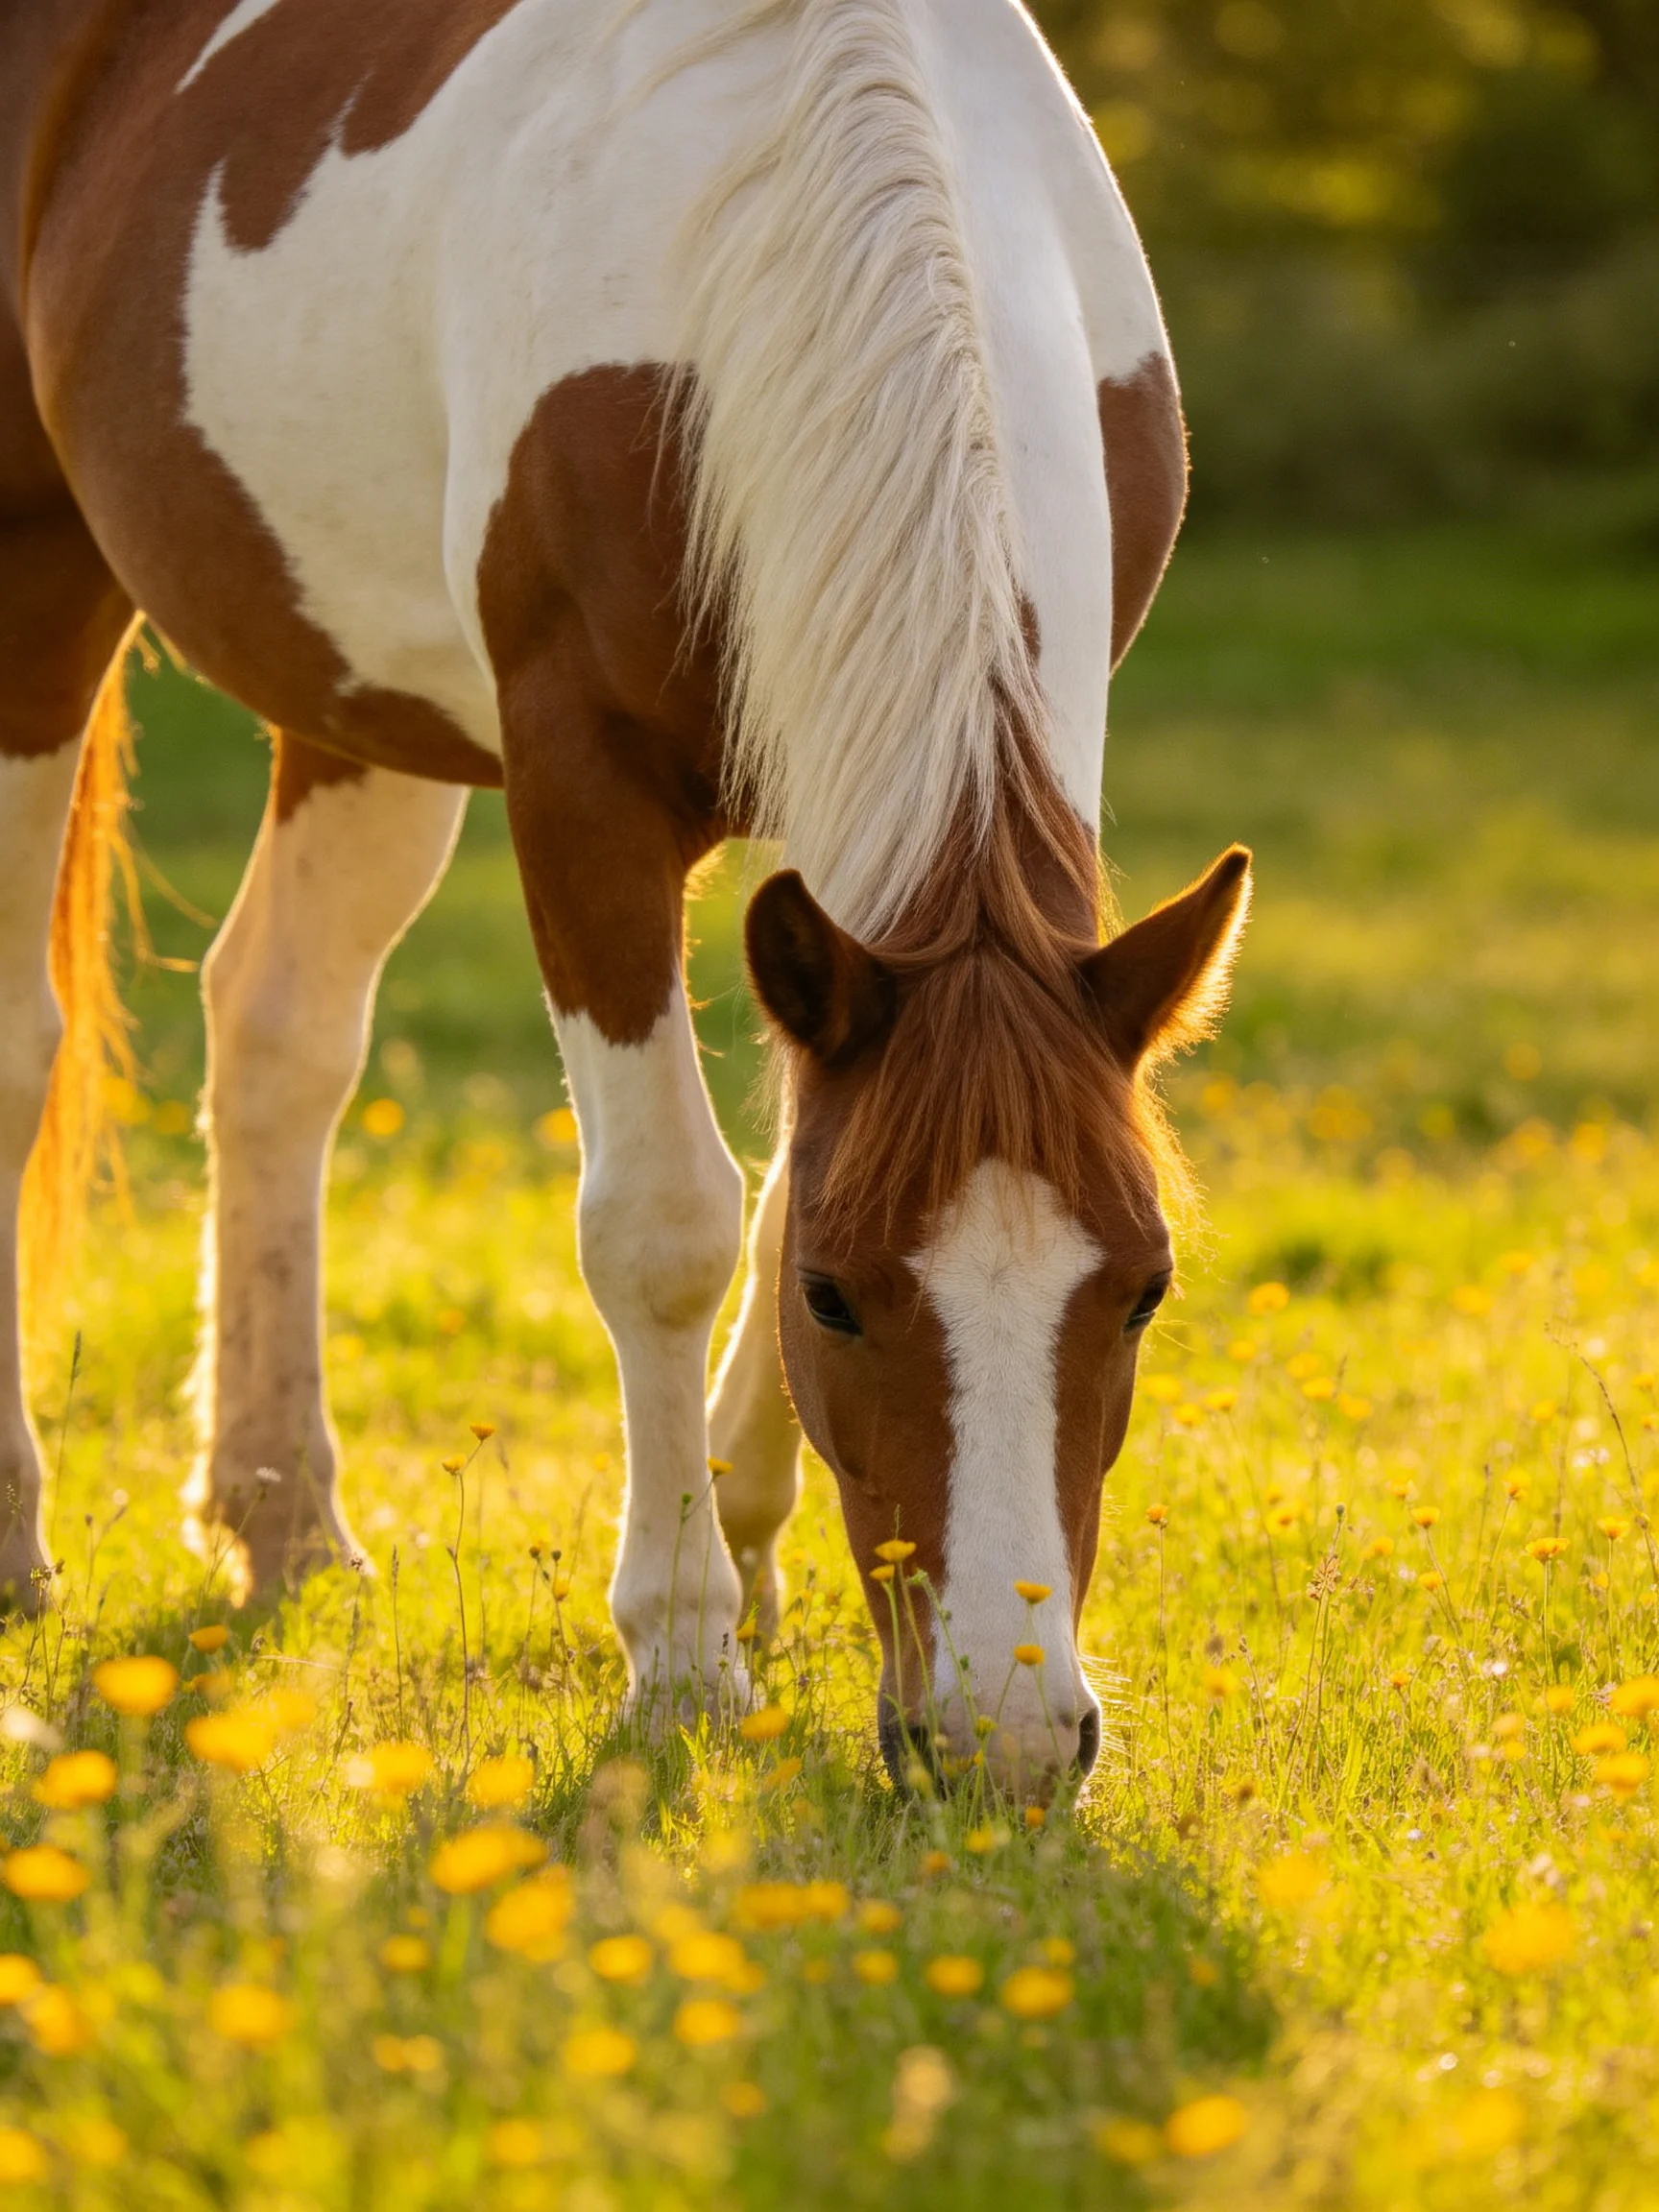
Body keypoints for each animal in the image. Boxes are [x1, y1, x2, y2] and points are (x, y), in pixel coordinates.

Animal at [0, 0, 1249, 1798]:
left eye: (1140, 1285)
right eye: (837, 1298)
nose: (1009, 1741)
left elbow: (793, 1153)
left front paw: (753, 1539)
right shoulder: (579, 787)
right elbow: (667, 1222)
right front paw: (682, 1646)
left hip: (351, 690)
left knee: (280, 1029)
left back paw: (279, 1516)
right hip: (37, 577)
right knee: (23, 1043)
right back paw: (18, 1538)